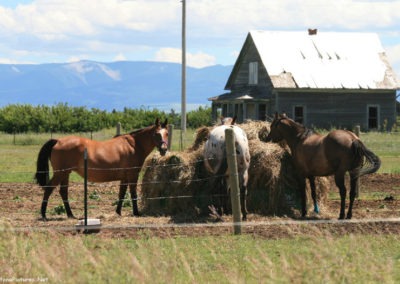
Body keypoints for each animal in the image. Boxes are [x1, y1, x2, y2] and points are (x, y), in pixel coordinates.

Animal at [34, 117, 170, 220]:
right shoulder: (132, 175)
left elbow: (121, 194)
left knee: (63, 192)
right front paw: (136, 213)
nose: (164, 149)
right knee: (49, 189)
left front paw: (118, 212)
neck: (133, 145)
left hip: (65, 174)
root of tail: (58, 141)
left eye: (167, 133)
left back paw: (70, 215)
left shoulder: (124, 177)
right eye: (156, 134)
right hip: (60, 174)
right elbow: (133, 194)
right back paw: (44, 215)